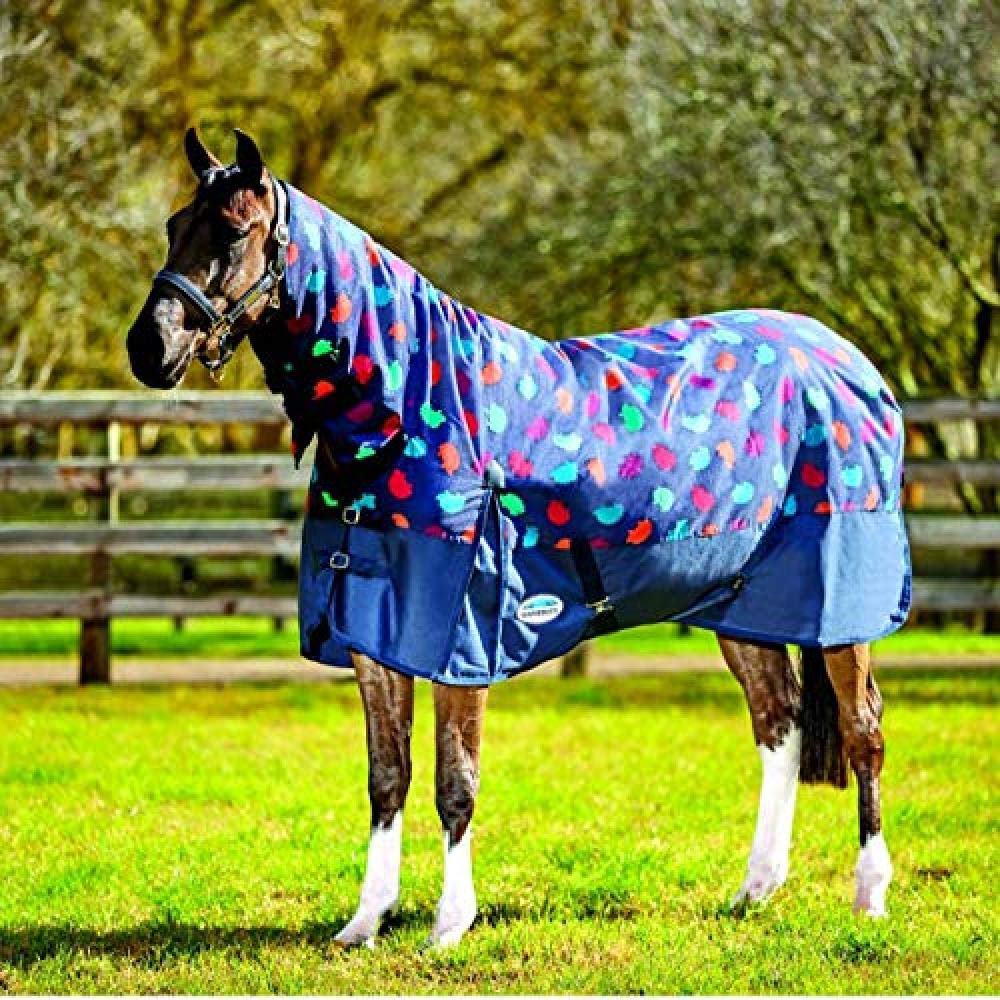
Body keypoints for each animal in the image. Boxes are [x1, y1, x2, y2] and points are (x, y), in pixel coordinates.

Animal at [127, 129, 909, 948]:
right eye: (174, 226)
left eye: (233, 232)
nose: (149, 347)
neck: (407, 409)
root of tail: (847, 360)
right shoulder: (376, 634)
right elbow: (387, 778)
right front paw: (366, 921)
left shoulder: (458, 640)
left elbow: (455, 782)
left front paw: (449, 924)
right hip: (743, 607)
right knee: (778, 723)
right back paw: (755, 890)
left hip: (841, 612)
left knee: (863, 730)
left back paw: (870, 895)